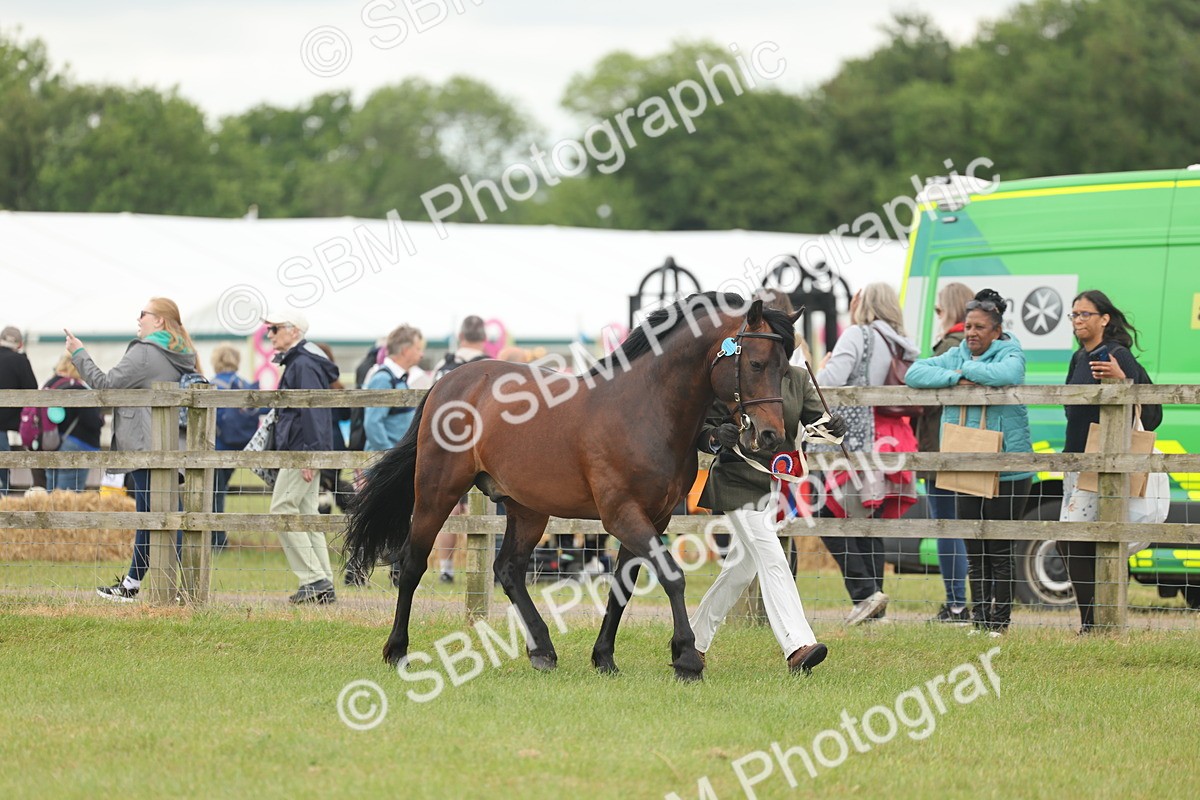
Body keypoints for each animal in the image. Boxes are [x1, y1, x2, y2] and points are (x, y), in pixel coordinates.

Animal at [345, 292, 799, 681]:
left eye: (785, 367)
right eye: (756, 364)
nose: (772, 436)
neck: (645, 408)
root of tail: (448, 382)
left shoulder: (654, 518)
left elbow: (622, 588)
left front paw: (604, 657)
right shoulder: (622, 515)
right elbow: (671, 576)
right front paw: (686, 657)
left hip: (528, 509)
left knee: (508, 569)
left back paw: (542, 650)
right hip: (437, 492)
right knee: (412, 563)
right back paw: (398, 650)